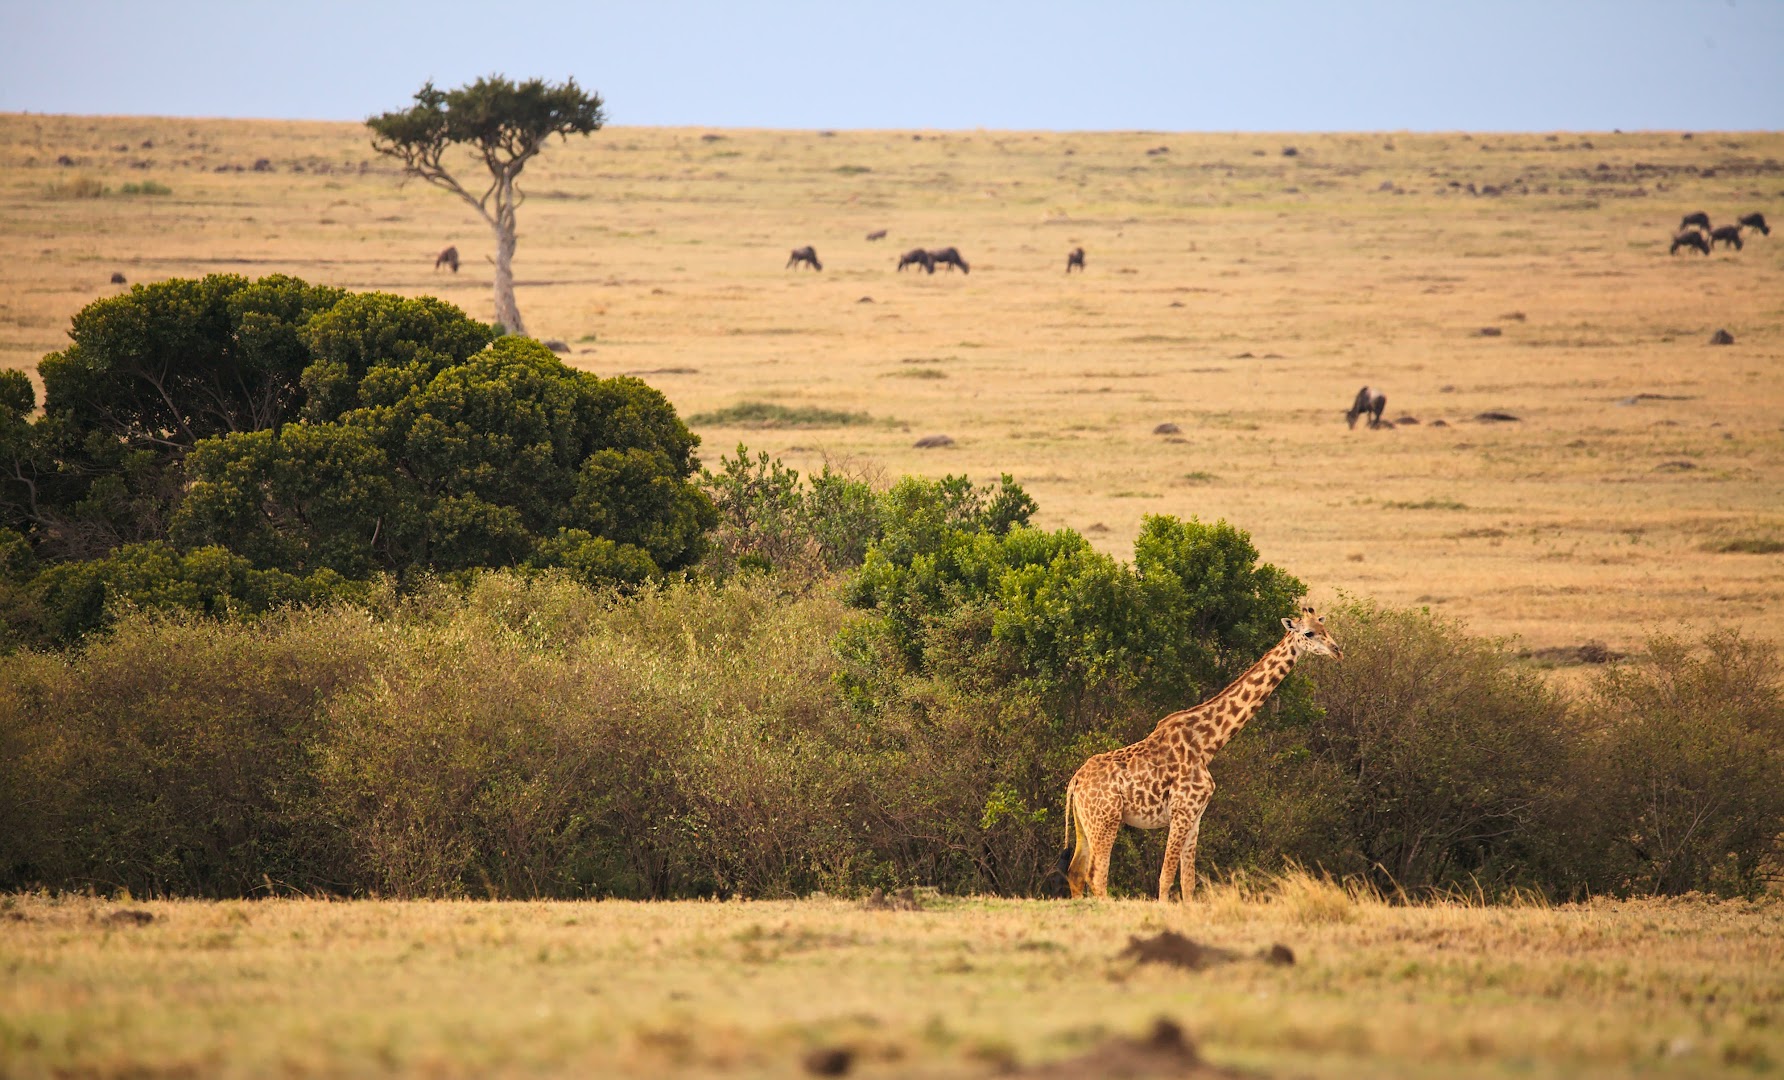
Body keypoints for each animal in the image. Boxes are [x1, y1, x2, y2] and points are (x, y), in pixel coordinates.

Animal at [1056, 606, 1341, 899]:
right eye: (1308, 633)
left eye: (1325, 627)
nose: (1337, 650)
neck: (1207, 744)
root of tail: (1075, 782)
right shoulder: (1182, 812)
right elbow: (1166, 876)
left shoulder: (1196, 817)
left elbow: (1188, 881)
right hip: (1106, 820)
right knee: (1096, 875)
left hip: (1085, 822)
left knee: (1076, 872)